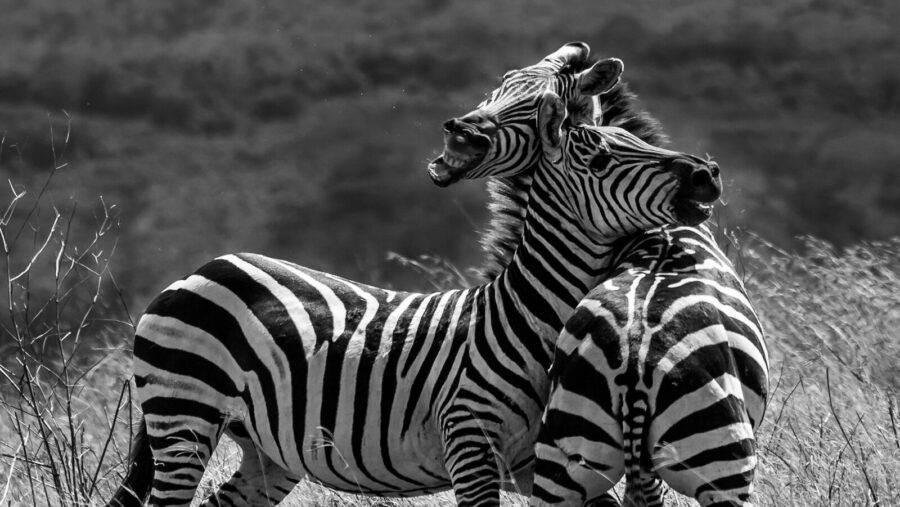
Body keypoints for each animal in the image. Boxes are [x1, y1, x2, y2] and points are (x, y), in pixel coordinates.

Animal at [107, 44, 724, 507]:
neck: (529, 316)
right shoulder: (471, 446)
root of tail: (203, 269)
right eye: (500, 86)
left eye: (540, 101)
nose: (460, 130)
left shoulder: (545, 461)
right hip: (184, 415)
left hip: (265, 449)